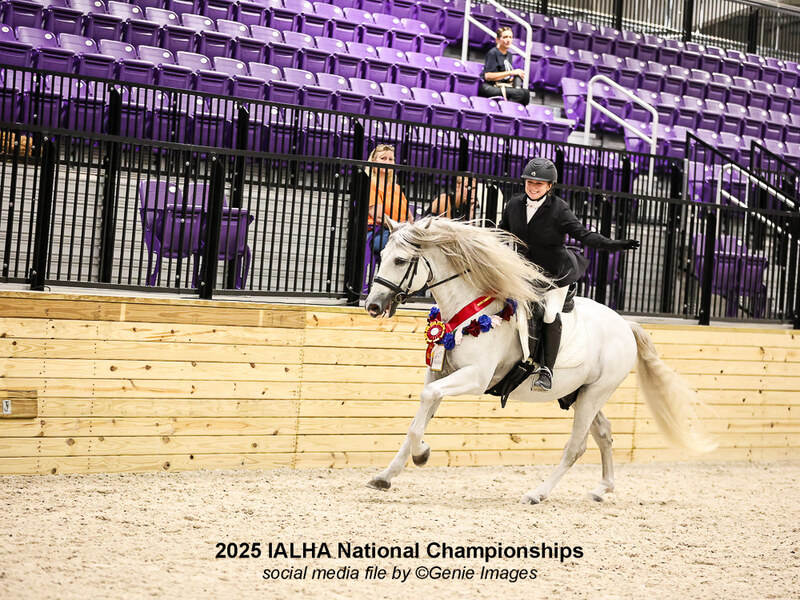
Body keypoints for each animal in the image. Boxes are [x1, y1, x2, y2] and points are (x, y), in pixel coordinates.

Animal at [364, 216, 716, 504]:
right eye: (380, 257)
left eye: (400, 260)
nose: (372, 306)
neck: (471, 310)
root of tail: (624, 324)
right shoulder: (439, 375)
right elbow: (417, 420)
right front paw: (387, 475)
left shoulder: (475, 377)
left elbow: (422, 410)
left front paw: (421, 455)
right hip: (581, 394)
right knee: (604, 434)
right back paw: (602, 489)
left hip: (595, 393)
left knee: (576, 447)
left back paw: (537, 493)